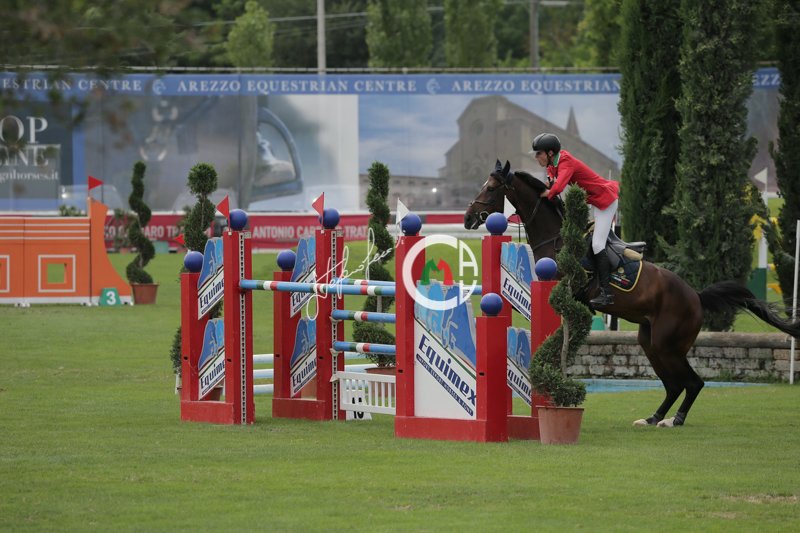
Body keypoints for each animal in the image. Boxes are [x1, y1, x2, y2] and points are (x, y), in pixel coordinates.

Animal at [464, 160, 800, 427]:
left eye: (491, 189)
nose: (468, 218)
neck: (558, 237)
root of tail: (696, 296)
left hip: (667, 344)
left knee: (693, 382)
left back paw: (675, 419)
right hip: (649, 342)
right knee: (674, 385)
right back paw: (653, 417)